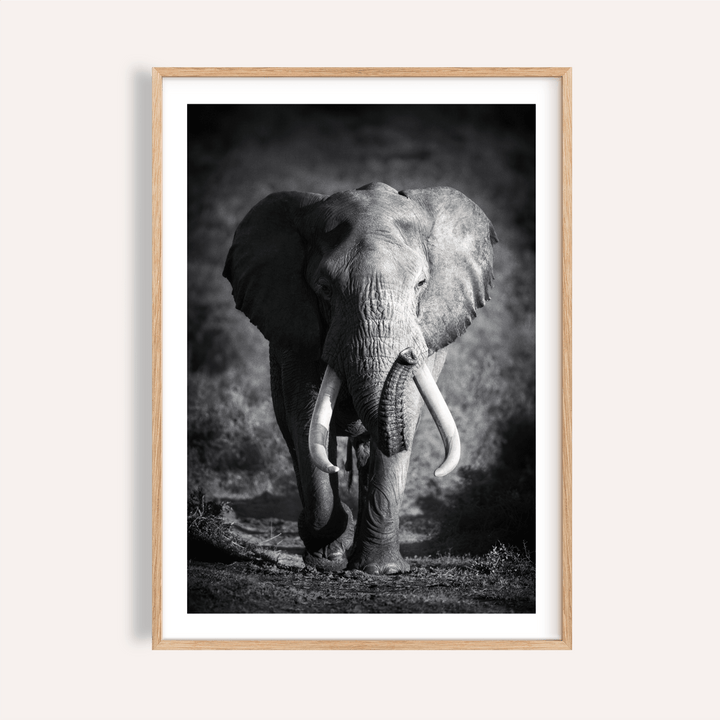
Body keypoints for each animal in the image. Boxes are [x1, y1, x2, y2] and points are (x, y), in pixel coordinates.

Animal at [223, 182, 497, 574]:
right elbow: (306, 417)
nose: (407, 355)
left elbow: (406, 412)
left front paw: (382, 570)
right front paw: (327, 556)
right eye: (324, 288)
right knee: (294, 436)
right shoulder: (294, 329)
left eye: (421, 284)